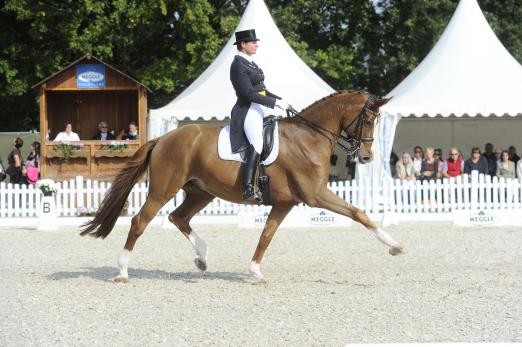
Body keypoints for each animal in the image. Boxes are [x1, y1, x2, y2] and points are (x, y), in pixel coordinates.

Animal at [81, 91, 404, 284]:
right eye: (369, 119)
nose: (366, 157)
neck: (309, 137)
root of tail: (162, 138)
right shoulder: (315, 195)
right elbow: (359, 213)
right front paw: (394, 246)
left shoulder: (285, 203)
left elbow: (266, 235)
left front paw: (255, 271)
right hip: (164, 189)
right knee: (140, 221)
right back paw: (122, 271)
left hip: (200, 191)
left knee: (178, 217)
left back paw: (202, 258)